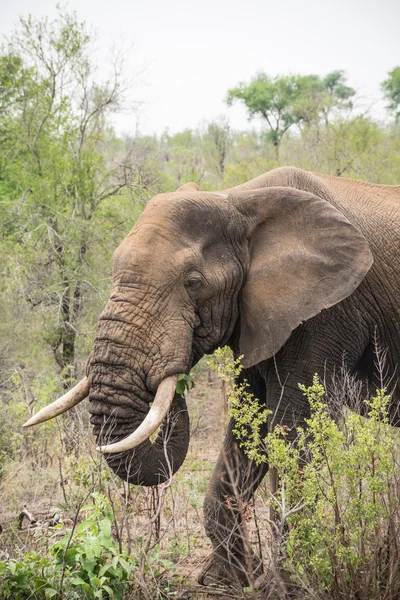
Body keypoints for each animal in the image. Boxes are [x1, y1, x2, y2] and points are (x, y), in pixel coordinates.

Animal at [25, 168, 400, 584]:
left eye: (193, 282)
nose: (171, 373)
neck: (238, 200)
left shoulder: (327, 313)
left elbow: (292, 427)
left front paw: (284, 585)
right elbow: (249, 427)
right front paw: (228, 579)